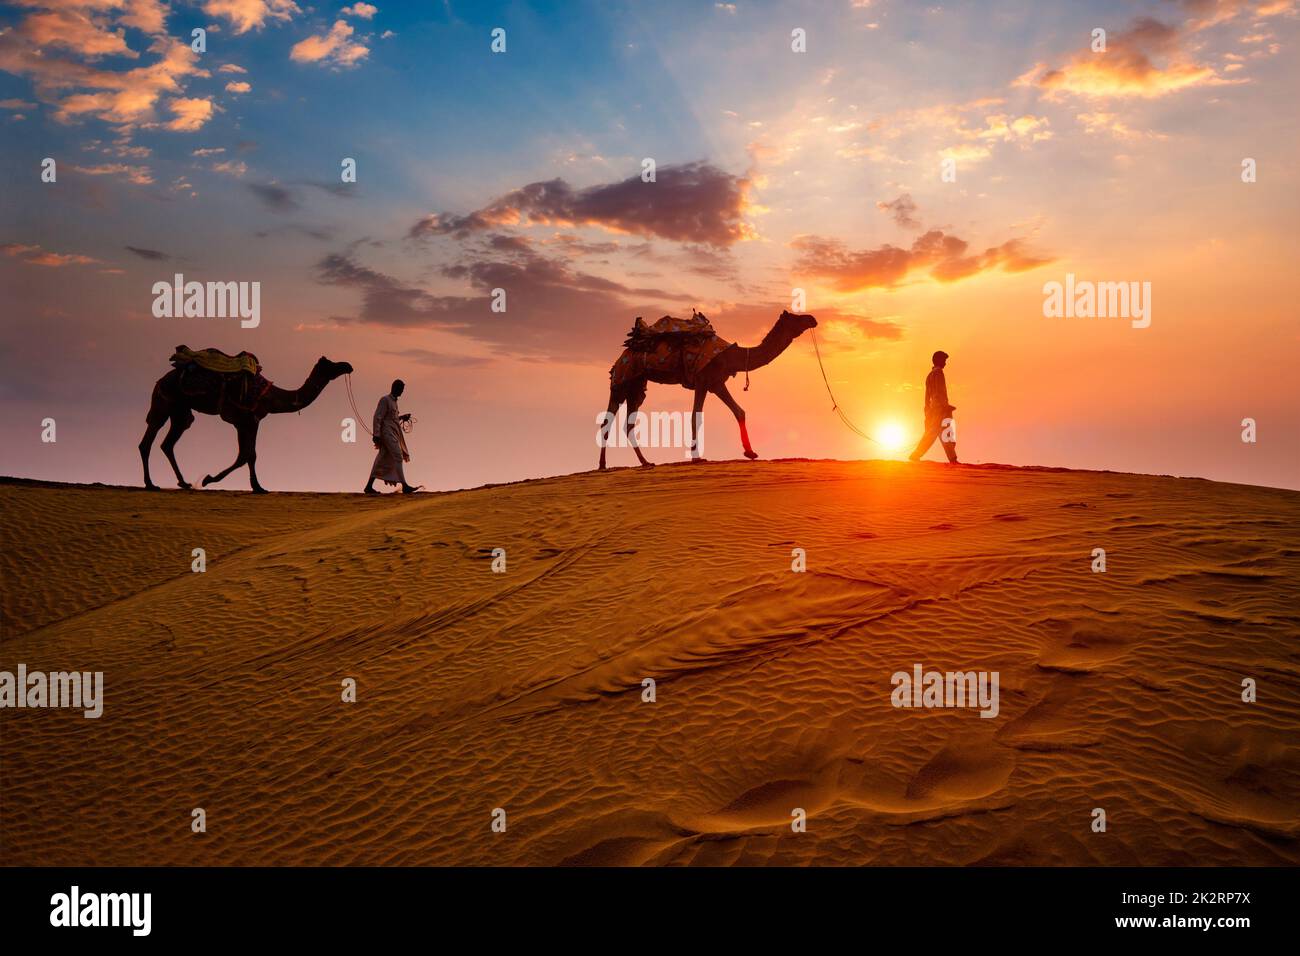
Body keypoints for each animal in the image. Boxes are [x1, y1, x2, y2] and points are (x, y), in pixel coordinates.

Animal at [139, 356, 353, 496]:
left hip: (180, 410)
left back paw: (183, 483)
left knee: (168, 442)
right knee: (148, 440)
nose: (348, 365)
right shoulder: (246, 420)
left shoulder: (249, 421)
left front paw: (257, 486)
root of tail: (161, 379)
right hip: (164, 401)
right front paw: (209, 479)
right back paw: (150, 484)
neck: (270, 396)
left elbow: (249, 455)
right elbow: (246, 455)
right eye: (331, 365)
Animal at [595, 308, 811, 468]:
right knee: (607, 421)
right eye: (796, 317)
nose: (813, 319)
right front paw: (696, 457)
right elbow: (695, 417)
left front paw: (750, 452)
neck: (731, 356)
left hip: (637, 386)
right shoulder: (702, 379)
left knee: (628, 422)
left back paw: (645, 462)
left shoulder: (716, 382)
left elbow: (739, 411)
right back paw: (603, 465)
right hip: (621, 381)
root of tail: (618, 361)